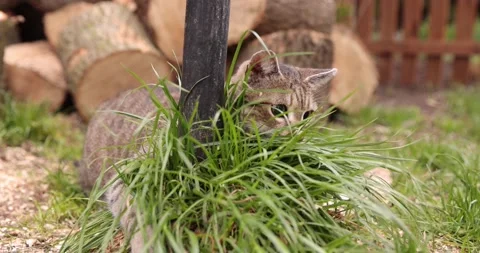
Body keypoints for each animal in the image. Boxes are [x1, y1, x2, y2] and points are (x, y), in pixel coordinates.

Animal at [79, 50, 336, 253]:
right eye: (279, 110)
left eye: (308, 115)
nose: (298, 136)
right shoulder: (127, 178)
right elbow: (140, 212)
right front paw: (149, 242)